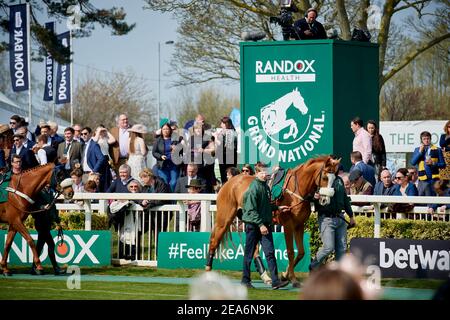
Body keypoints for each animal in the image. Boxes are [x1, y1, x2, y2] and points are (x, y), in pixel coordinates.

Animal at [205, 156, 342, 288]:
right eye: (325, 177)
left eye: (334, 178)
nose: (325, 200)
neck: (296, 189)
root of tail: (229, 183)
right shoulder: (288, 225)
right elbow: (290, 252)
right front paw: (293, 279)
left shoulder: (299, 225)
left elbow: (301, 252)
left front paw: (285, 275)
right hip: (224, 219)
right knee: (214, 241)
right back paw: (208, 272)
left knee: (253, 249)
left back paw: (266, 277)